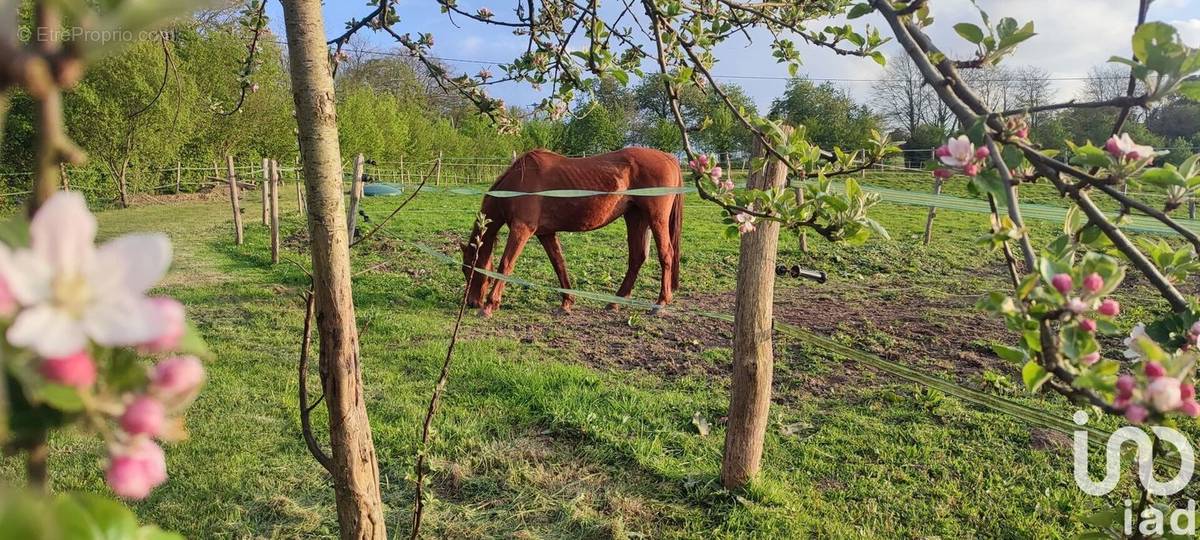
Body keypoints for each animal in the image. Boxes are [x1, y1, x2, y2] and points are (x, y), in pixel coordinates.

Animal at [460, 147, 686, 316]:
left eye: (470, 268)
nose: (472, 303)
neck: (517, 185)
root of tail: (669, 157)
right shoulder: (545, 234)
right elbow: (559, 264)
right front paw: (567, 302)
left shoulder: (521, 230)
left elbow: (505, 265)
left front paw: (489, 306)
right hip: (635, 218)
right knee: (637, 258)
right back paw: (614, 302)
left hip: (656, 220)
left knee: (666, 254)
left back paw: (659, 304)